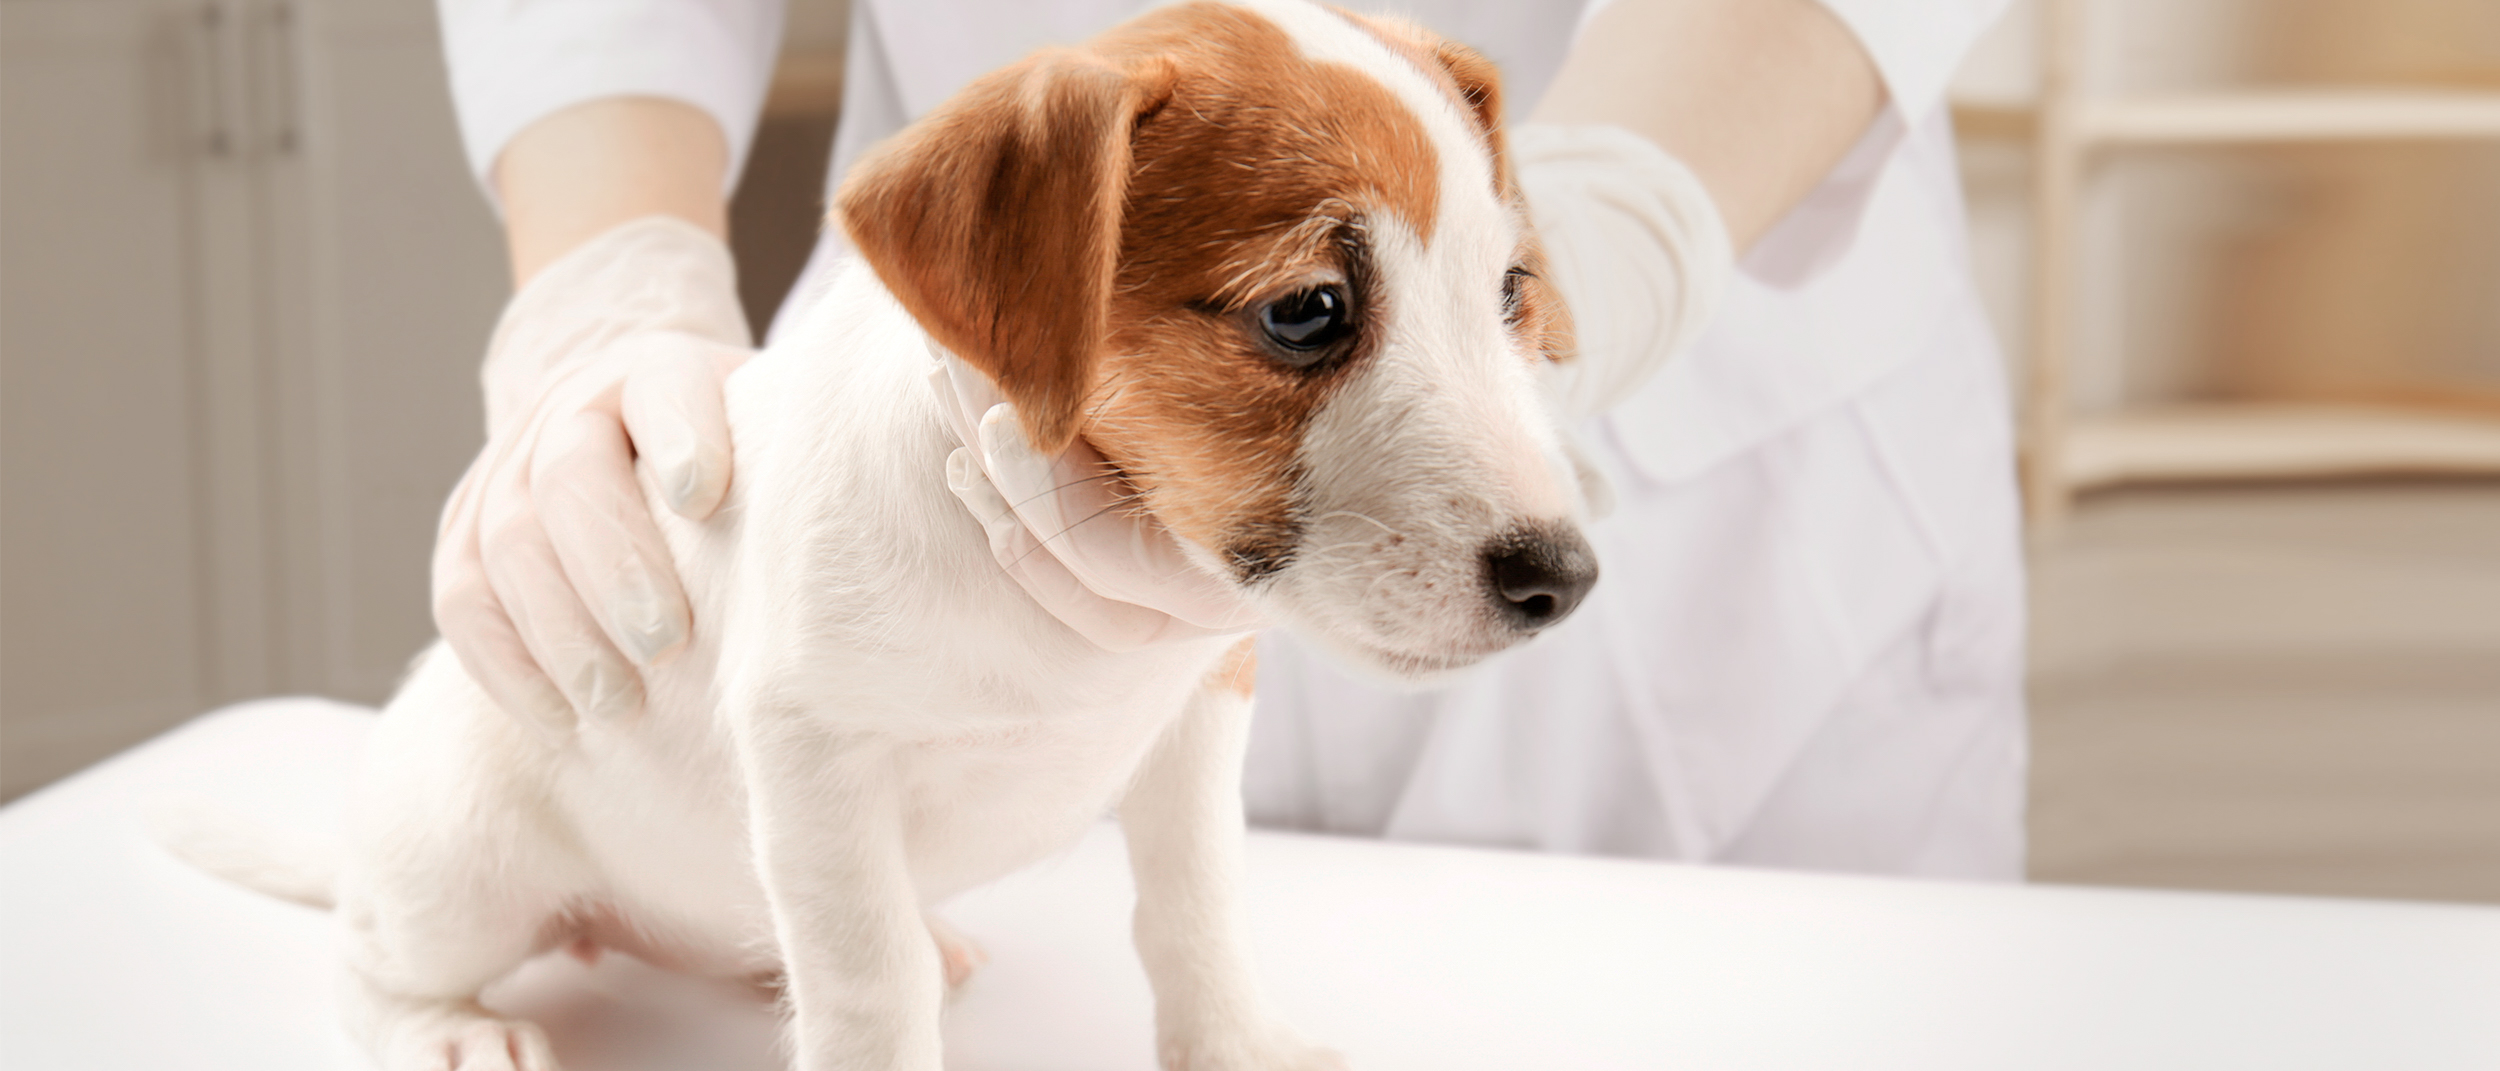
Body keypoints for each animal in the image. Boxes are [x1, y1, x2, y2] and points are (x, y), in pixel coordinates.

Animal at [190, 0, 1600, 1065]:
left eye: (1508, 295)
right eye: (1307, 311)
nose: (1567, 582)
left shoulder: (1199, 714)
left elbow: (1195, 914)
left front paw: (1234, 1048)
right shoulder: (815, 757)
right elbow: (869, 984)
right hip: (461, 873)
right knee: (368, 958)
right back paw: (445, 1028)